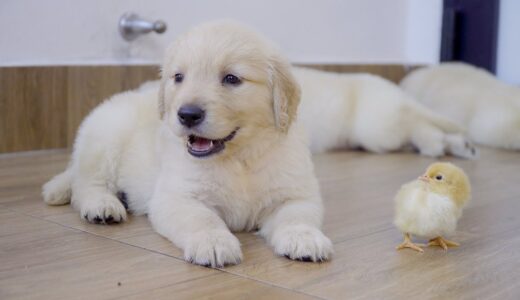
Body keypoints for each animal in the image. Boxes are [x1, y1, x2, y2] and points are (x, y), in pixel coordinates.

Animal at [42, 22, 332, 268]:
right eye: (178, 77)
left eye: (232, 78)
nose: (188, 114)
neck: (239, 159)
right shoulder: (177, 196)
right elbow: (202, 218)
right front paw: (214, 243)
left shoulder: (295, 193)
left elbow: (296, 216)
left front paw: (305, 238)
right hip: (107, 137)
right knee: (85, 184)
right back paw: (103, 206)